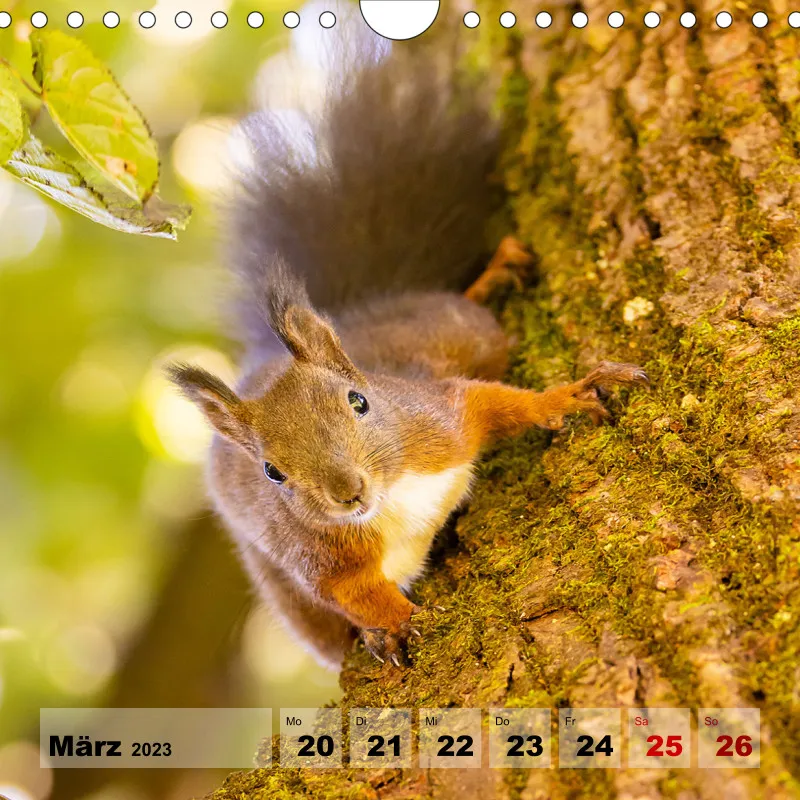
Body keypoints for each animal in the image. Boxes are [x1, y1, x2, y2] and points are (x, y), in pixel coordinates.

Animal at [168, 30, 648, 670]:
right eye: (271, 472)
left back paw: (493, 276)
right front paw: (394, 625)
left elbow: (496, 403)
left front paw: (566, 397)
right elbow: (357, 594)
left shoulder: (438, 418)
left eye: (360, 402)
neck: (391, 496)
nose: (348, 495)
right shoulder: (317, 556)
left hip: (455, 330)